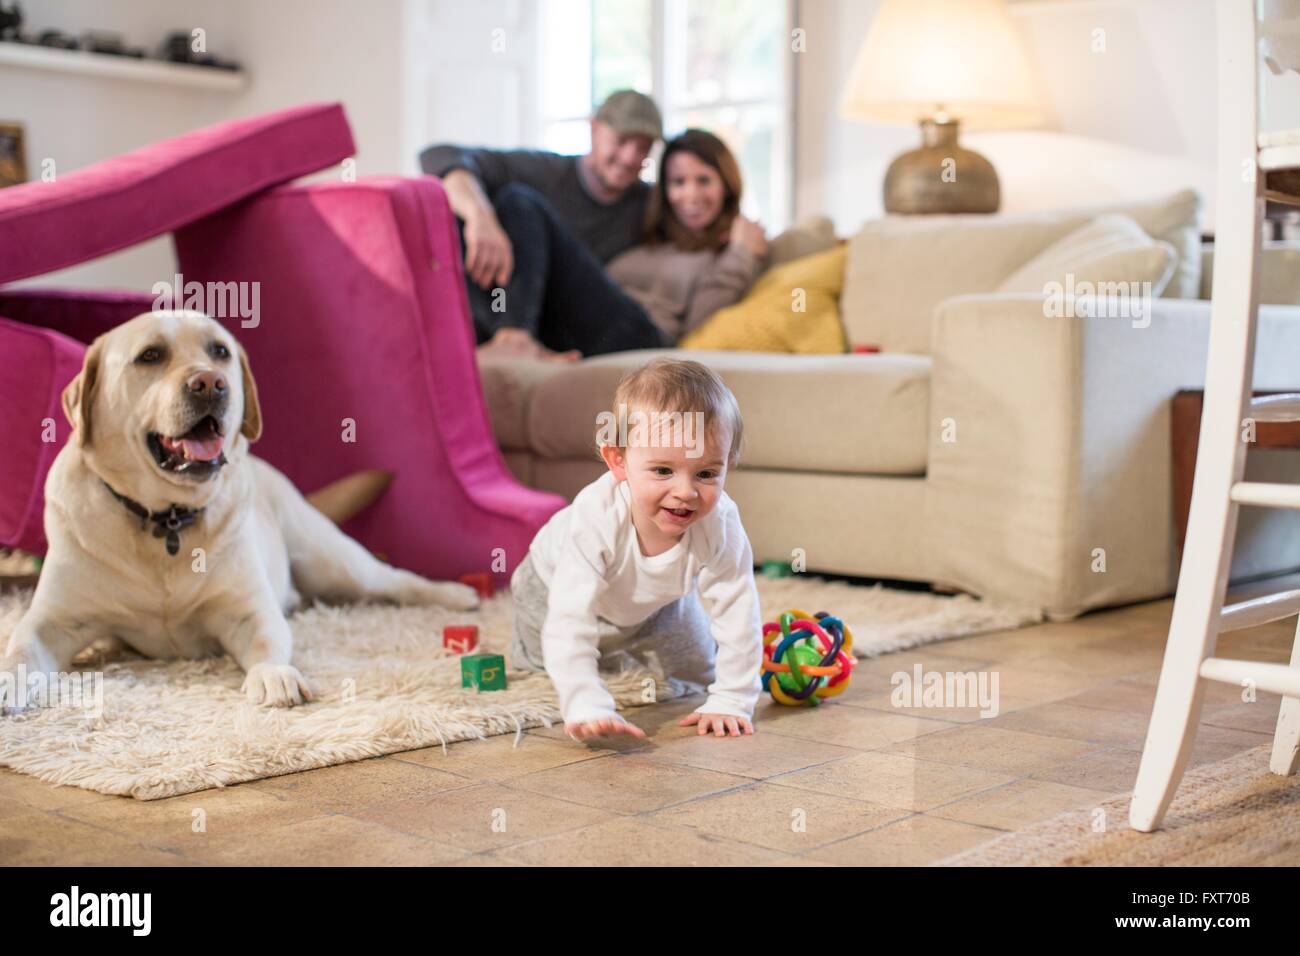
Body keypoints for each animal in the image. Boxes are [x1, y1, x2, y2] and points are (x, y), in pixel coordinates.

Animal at [0, 312, 478, 712]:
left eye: (220, 352)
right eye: (150, 355)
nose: (211, 383)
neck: (166, 519)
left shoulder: (248, 609)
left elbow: (266, 640)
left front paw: (275, 676)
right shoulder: (53, 620)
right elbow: (20, 646)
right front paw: (8, 683)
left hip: (334, 562)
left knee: (396, 580)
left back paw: (456, 595)